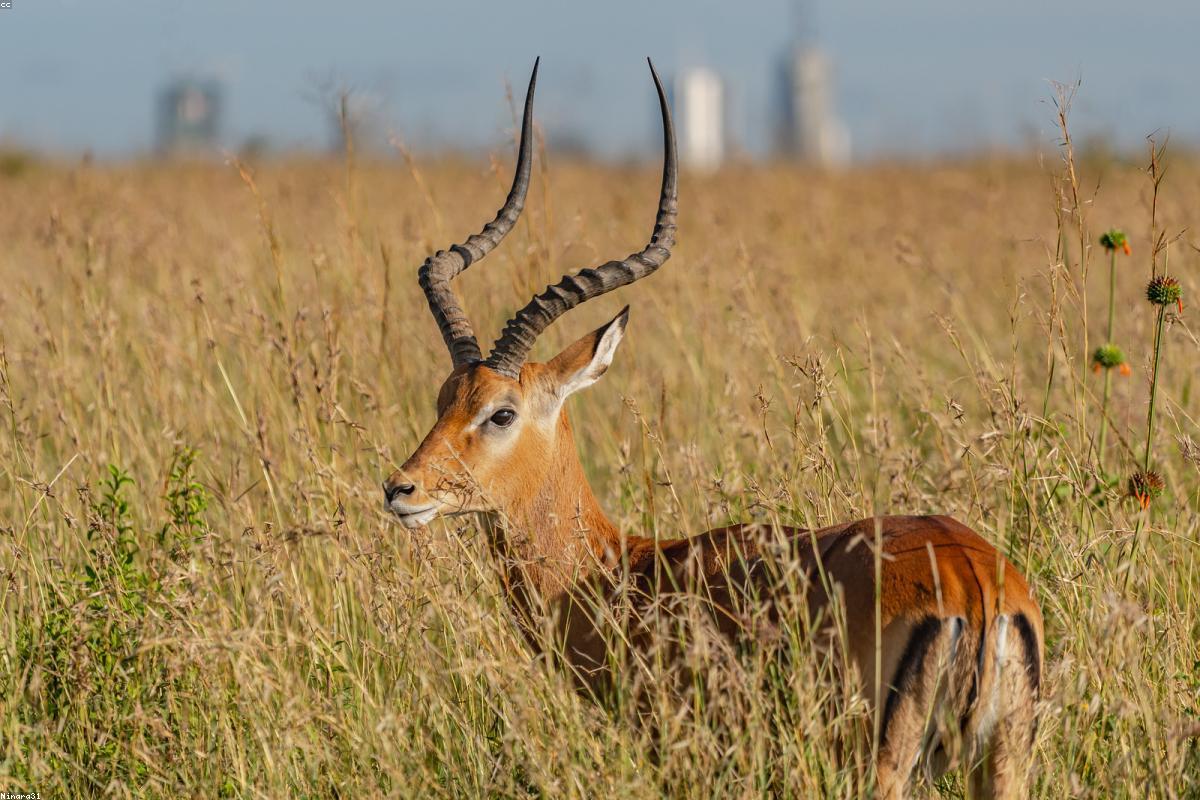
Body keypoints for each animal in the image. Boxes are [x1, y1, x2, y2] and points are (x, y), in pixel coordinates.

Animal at [383, 59, 1043, 799]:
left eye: (501, 412)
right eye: (444, 398)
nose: (402, 489)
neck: (620, 572)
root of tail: (973, 579)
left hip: (878, 765)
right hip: (1003, 765)